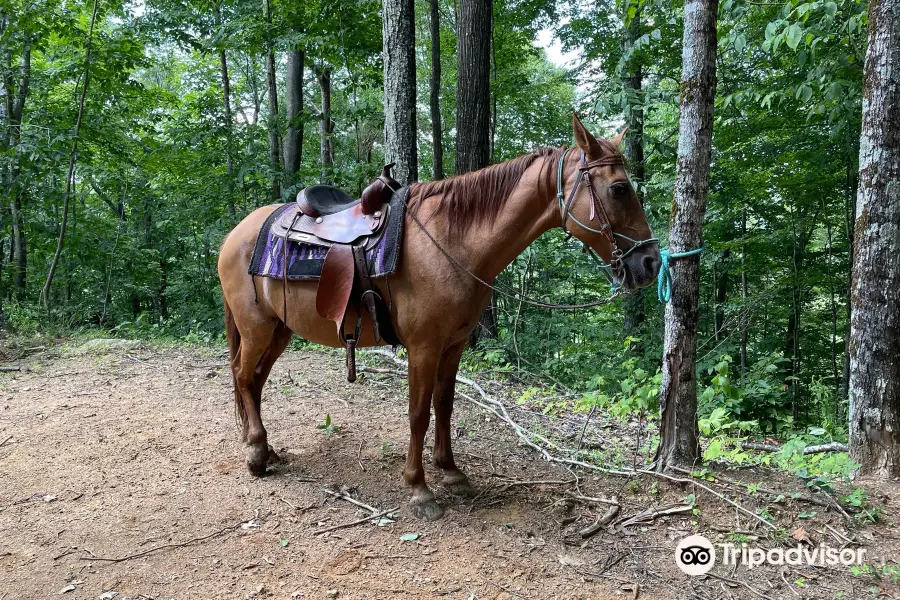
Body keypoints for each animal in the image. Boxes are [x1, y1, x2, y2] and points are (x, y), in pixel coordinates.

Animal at [214, 115, 656, 516]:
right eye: (619, 189)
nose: (650, 262)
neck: (454, 242)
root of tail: (236, 232)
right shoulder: (423, 347)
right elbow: (418, 414)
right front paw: (419, 488)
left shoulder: (453, 343)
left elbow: (444, 405)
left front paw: (451, 471)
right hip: (256, 329)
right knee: (242, 376)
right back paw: (256, 453)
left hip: (280, 330)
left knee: (254, 381)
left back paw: (265, 447)